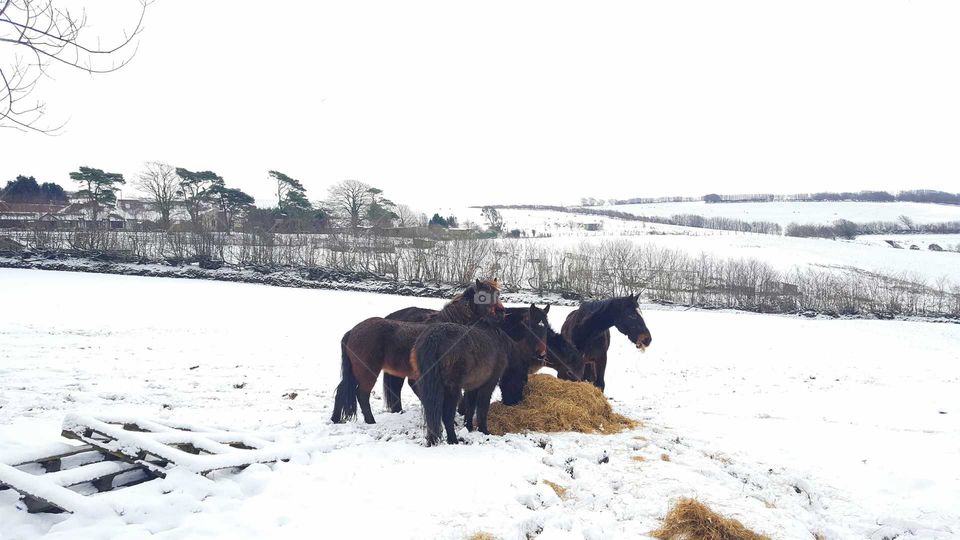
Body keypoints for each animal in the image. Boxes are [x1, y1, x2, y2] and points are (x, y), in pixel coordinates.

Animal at [332, 278, 502, 426]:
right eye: (483, 296)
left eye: (498, 294)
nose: (501, 312)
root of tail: (352, 331)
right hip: (367, 372)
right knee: (362, 395)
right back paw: (370, 421)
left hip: (355, 371)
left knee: (342, 390)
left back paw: (335, 419)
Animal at [412, 304, 548, 448]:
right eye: (522, 381)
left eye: (546, 327)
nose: (514, 402)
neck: (499, 338)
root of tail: (435, 337)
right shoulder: (489, 384)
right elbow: (482, 408)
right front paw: (484, 430)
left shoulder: (473, 385)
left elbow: (470, 407)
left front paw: (469, 428)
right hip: (452, 390)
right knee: (447, 416)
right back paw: (453, 440)